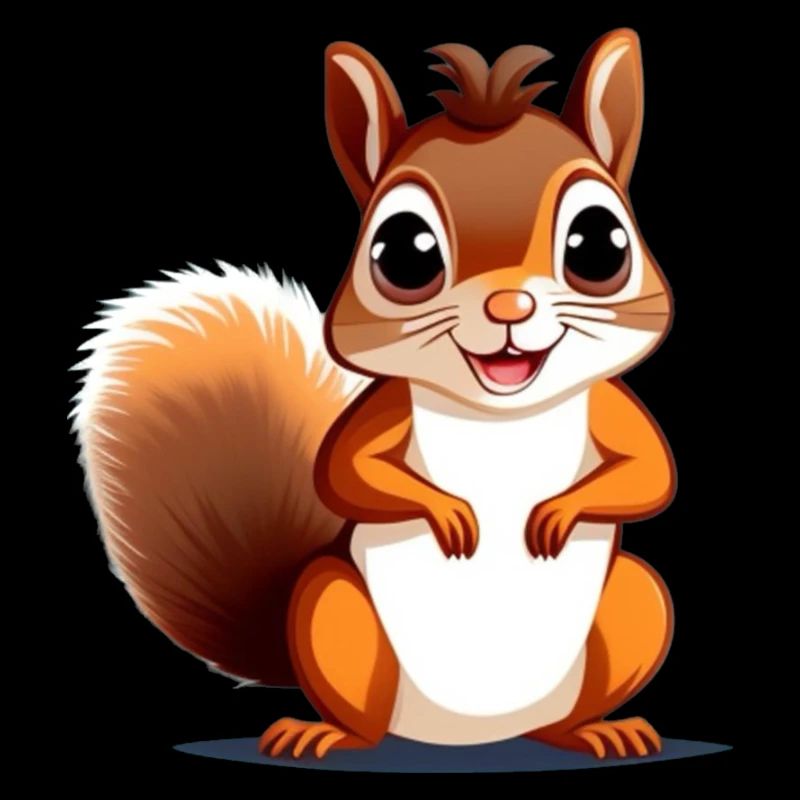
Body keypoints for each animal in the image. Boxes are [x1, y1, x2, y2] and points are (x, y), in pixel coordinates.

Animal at [73, 28, 676, 762]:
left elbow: (652, 473)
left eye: (600, 244)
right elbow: (343, 473)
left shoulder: (612, 403)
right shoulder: (385, 407)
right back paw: (324, 732)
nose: (509, 305)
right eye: (403, 253)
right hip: (332, 607)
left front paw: (555, 513)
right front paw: (451, 514)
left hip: (637, 602)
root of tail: (473, 735)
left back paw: (595, 730)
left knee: (573, 703)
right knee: (361, 713)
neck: (498, 410)